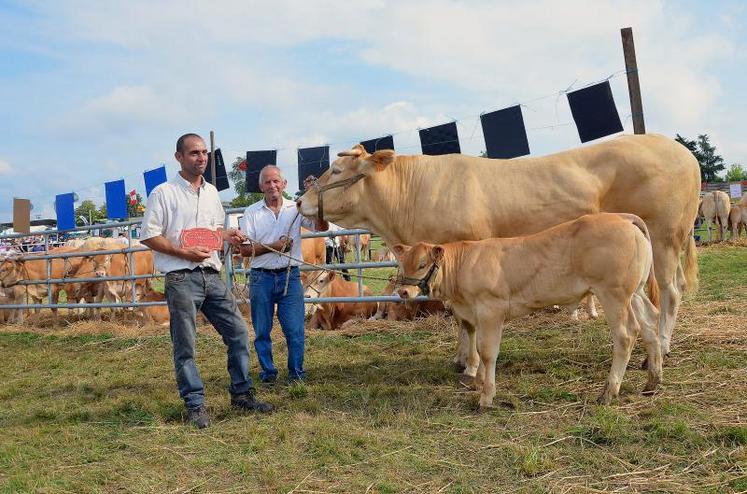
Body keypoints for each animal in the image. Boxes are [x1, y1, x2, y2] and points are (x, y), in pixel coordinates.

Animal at [298, 132, 700, 362]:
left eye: (336, 171)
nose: (301, 201)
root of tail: (681, 151)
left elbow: (464, 318)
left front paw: (469, 361)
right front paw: (461, 358)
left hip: (664, 236)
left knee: (671, 291)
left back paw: (663, 345)